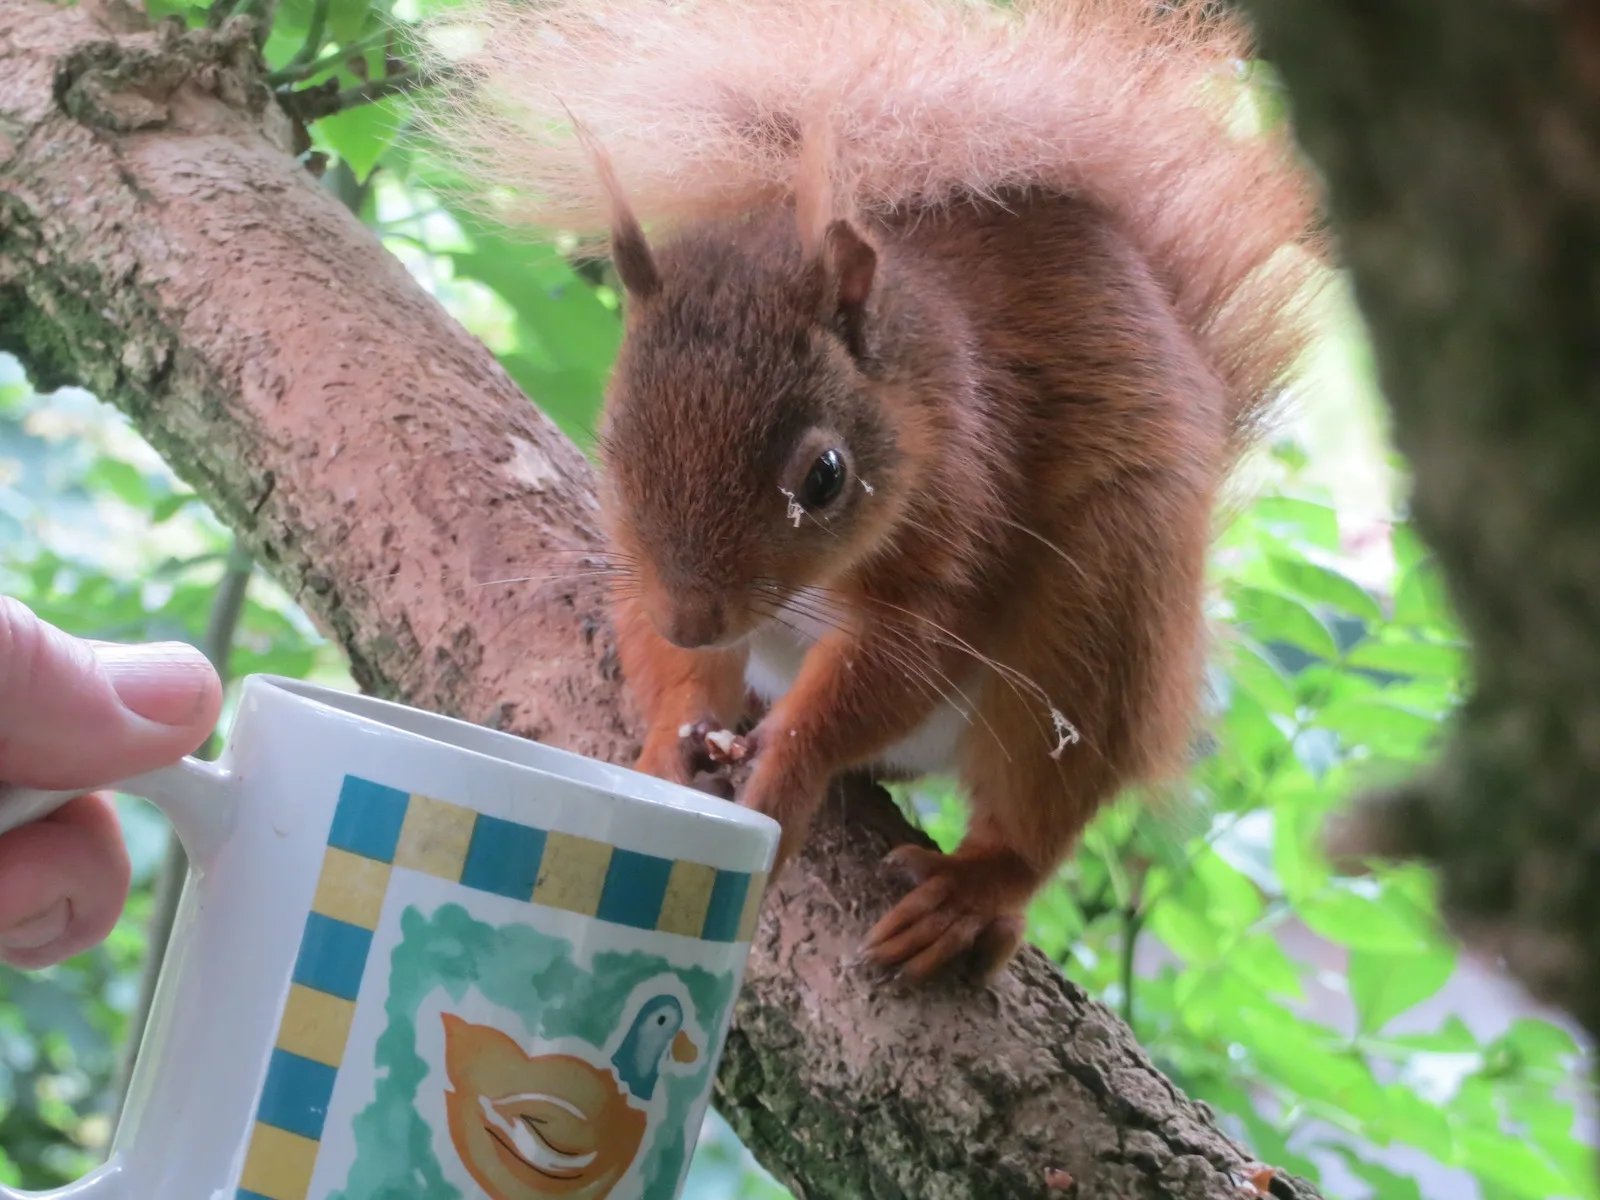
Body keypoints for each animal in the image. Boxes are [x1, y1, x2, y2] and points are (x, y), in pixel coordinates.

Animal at [429, 0, 1327, 982]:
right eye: (614, 440)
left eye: (825, 478)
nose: (694, 619)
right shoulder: (642, 574)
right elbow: (667, 662)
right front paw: (674, 734)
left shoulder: (964, 513)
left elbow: (897, 662)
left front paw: (786, 770)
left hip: (1102, 614)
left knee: (1037, 807)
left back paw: (967, 895)